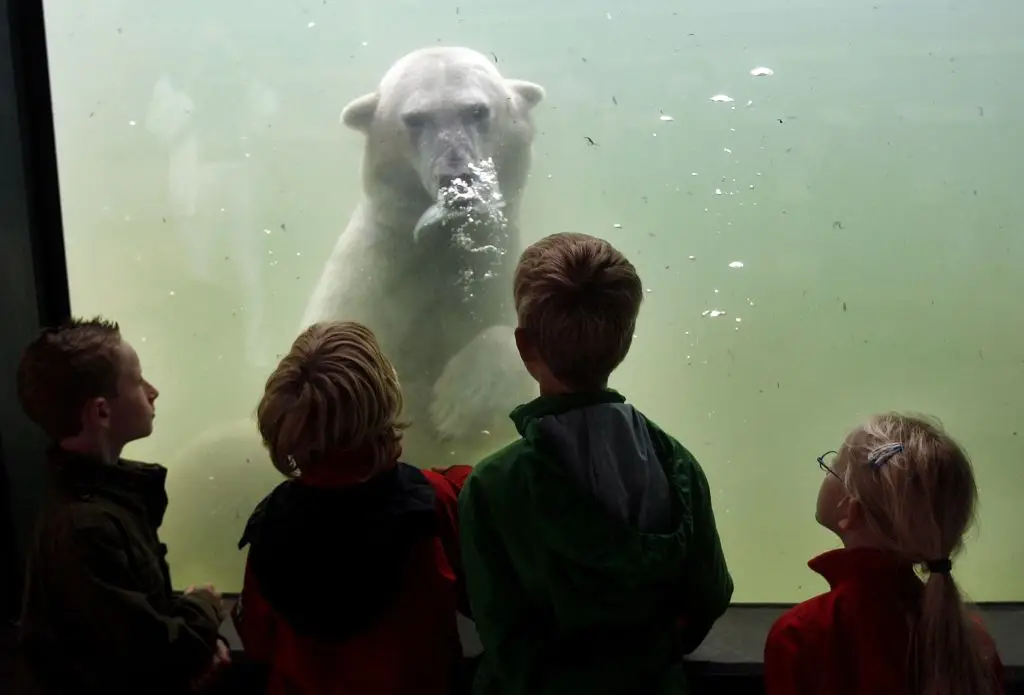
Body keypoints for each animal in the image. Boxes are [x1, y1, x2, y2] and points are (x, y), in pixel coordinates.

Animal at [300, 46, 546, 465]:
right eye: (414, 118)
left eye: (477, 110)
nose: (456, 176)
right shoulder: (368, 284)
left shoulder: (496, 277)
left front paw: (454, 404)